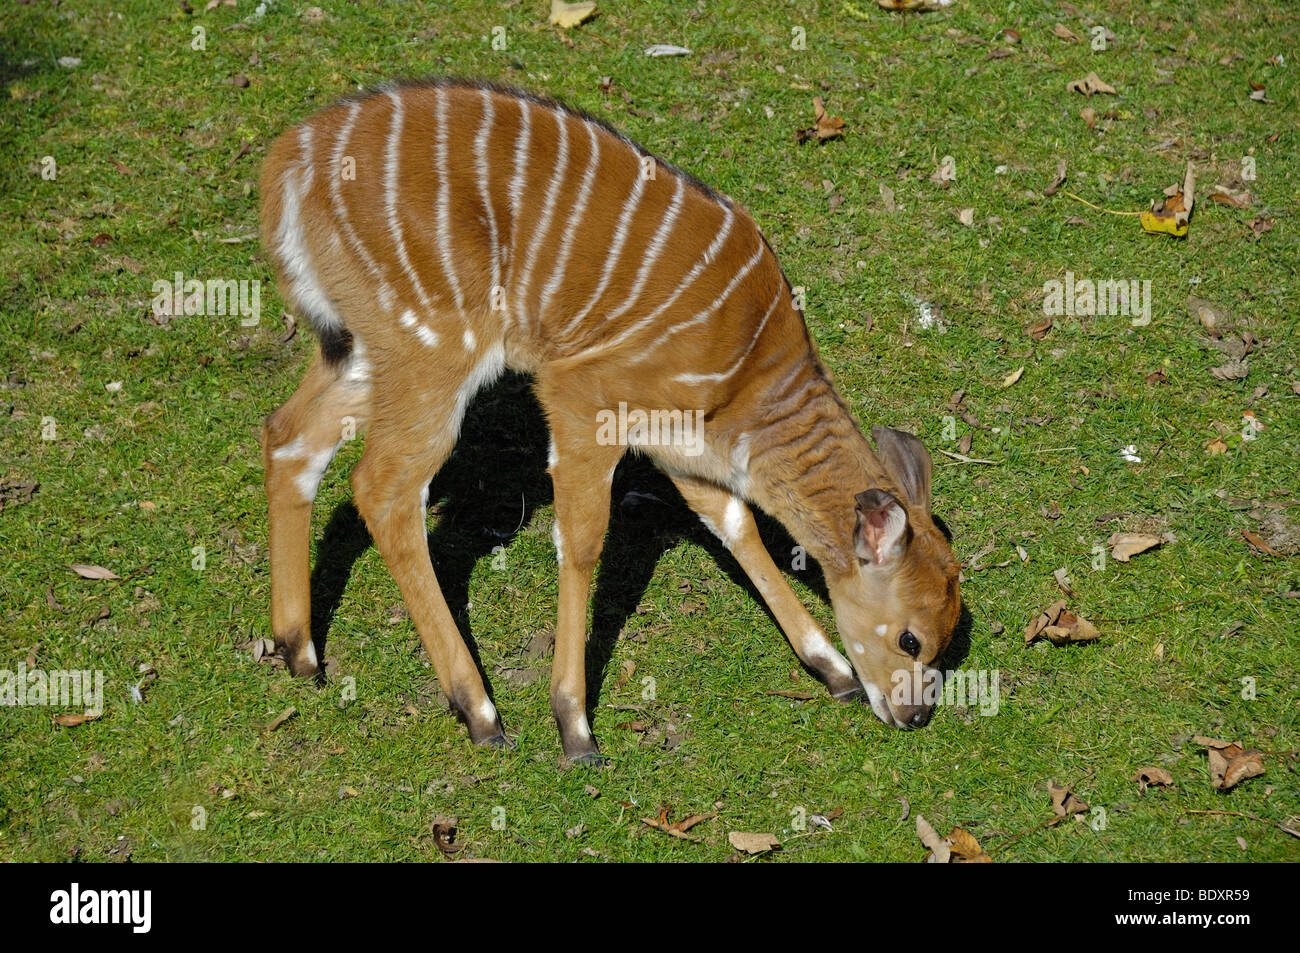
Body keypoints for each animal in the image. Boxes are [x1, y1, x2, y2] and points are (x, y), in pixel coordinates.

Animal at [258, 81, 961, 764]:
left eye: (950, 633)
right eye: (910, 638)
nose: (916, 715)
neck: (751, 379)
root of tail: (288, 163)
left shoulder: (681, 446)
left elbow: (736, 526)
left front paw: (832, 668)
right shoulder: (581, 397)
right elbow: (583, 541)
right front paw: (574, 727)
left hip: (360, 349)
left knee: (287, 435)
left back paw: (299, 651)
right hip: (433, 348)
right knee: (383, 485)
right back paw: (479, 710)